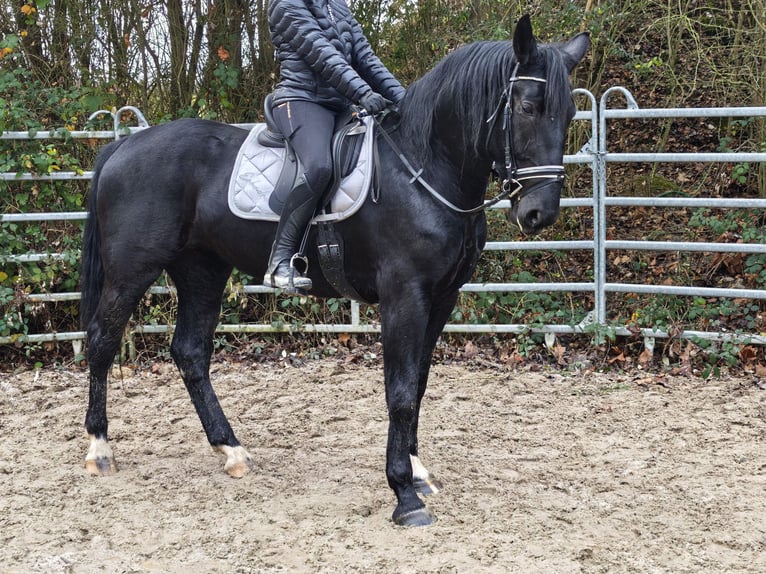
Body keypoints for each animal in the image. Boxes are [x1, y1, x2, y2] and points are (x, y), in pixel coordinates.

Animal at [79, 16, 589, 527]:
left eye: (568, 115)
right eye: (527, 106)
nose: (540, 212)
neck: (423, 167)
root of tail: (125, 145)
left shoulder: (442, 297)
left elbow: (419, 383)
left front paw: (417, 470)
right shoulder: (404, 296)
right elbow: (400, 391)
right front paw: (404, 494)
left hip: (202, 269)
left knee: (189, 353)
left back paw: (231, 449)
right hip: (132, 270)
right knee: (103, 341)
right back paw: (99, 449)